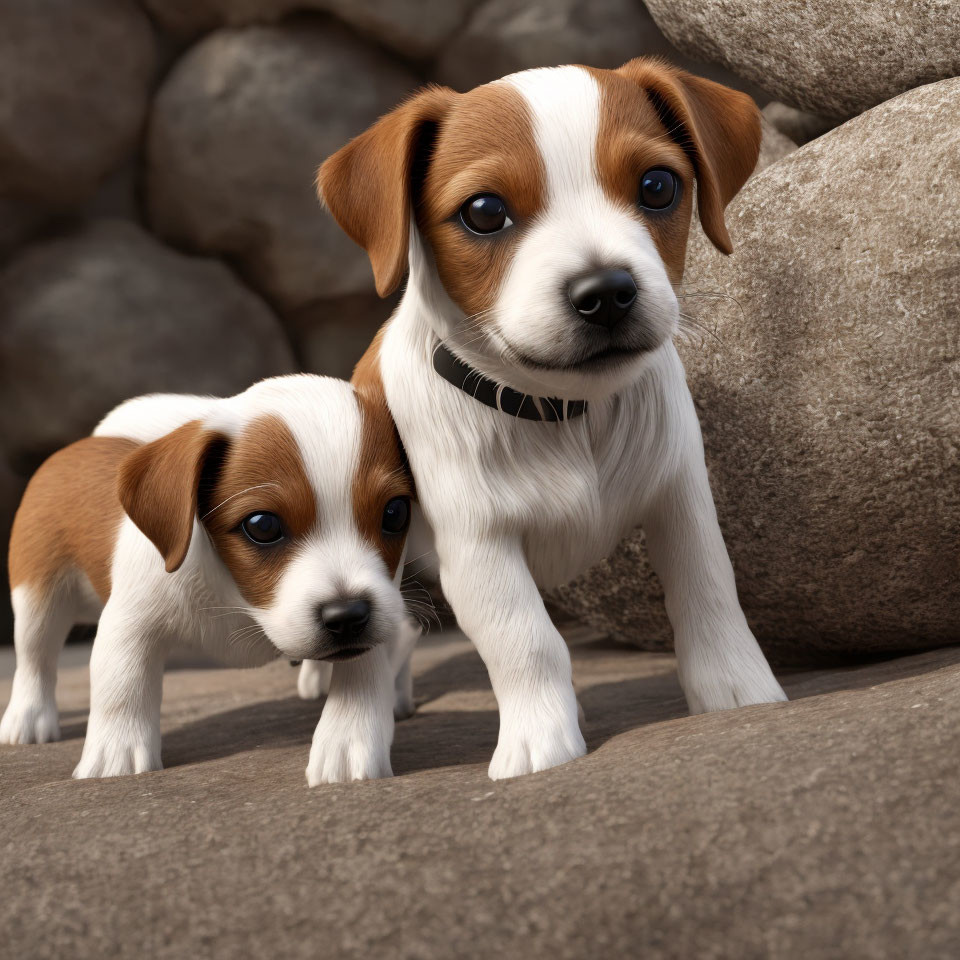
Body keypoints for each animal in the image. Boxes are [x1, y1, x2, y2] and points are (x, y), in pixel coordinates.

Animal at [1, 372, 418, 784]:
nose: (347, 616)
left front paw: (348, 737)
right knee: (35, 656)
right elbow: (122, 684)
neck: (238, 600)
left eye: (394, 513)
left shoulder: (376, 615)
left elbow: (365, 671)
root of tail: (80, 445)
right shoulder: (131, 622)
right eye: (262, 525)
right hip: (39, 597)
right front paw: (115, 755)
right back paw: (27, 717)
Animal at [320, 58, 788, 780]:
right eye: (485, 212)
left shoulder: (680, 498)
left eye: (657, 186)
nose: (607, 293)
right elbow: (527, 639)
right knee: (372, 641)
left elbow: (709, 590)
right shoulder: (478, 548)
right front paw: (541, 736)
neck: (566, 415)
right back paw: (349, 734)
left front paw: (737, 688)